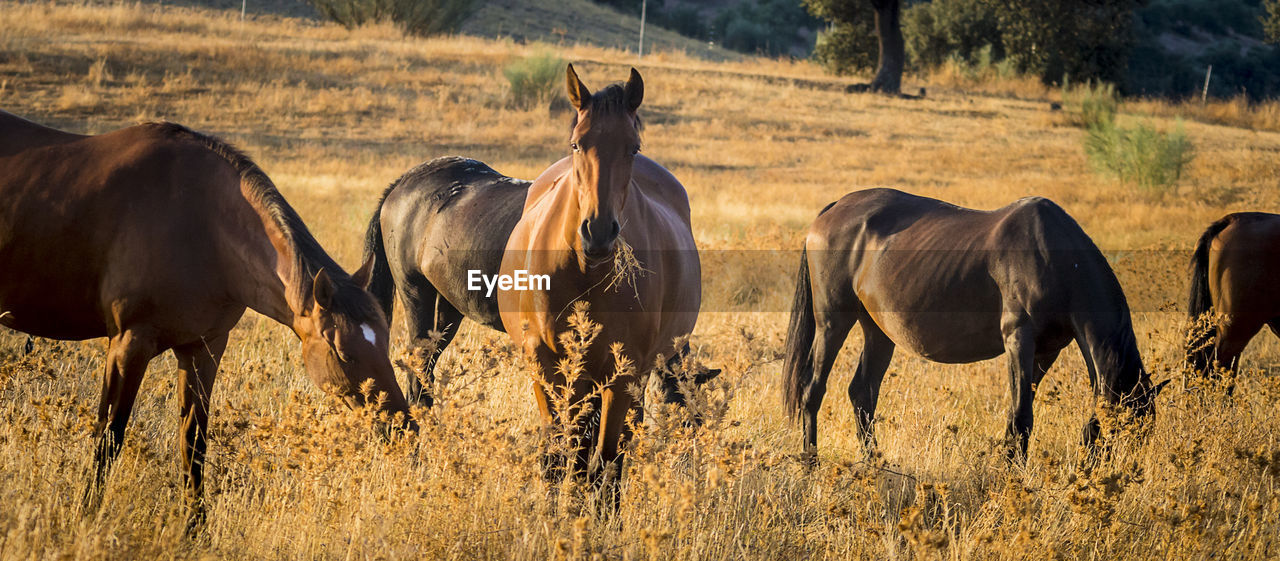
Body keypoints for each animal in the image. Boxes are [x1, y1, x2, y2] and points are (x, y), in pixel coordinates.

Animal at [0, 112, 409, 522]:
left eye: (385, 340)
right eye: (341, 351)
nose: (403, 426)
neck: (201, 222)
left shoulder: (203, 348)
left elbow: (192, 445)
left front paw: (195, 529)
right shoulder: (128, 343)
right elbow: (109, 436)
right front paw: (85, 515)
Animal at [496, 63, 701, 479]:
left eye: (633, 147)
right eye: (577, 143)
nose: (599, 231)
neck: (583, 271)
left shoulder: (624, 374)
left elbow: (606, 460)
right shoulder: (546, 364)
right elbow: (560, 453)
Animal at [778, 188, 1172, 461]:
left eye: (1145, 430)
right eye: (1122, 427)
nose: (1114, 478)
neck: (1055, 260)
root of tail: (833, 209)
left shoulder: (1047, 352)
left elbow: (1017, 416)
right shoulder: (1019, 339)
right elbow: (1021, 417)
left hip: (879, 331)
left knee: (862, 394)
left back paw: (875, 464)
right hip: (833, 322)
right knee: (813, 390)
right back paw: (810, 463)